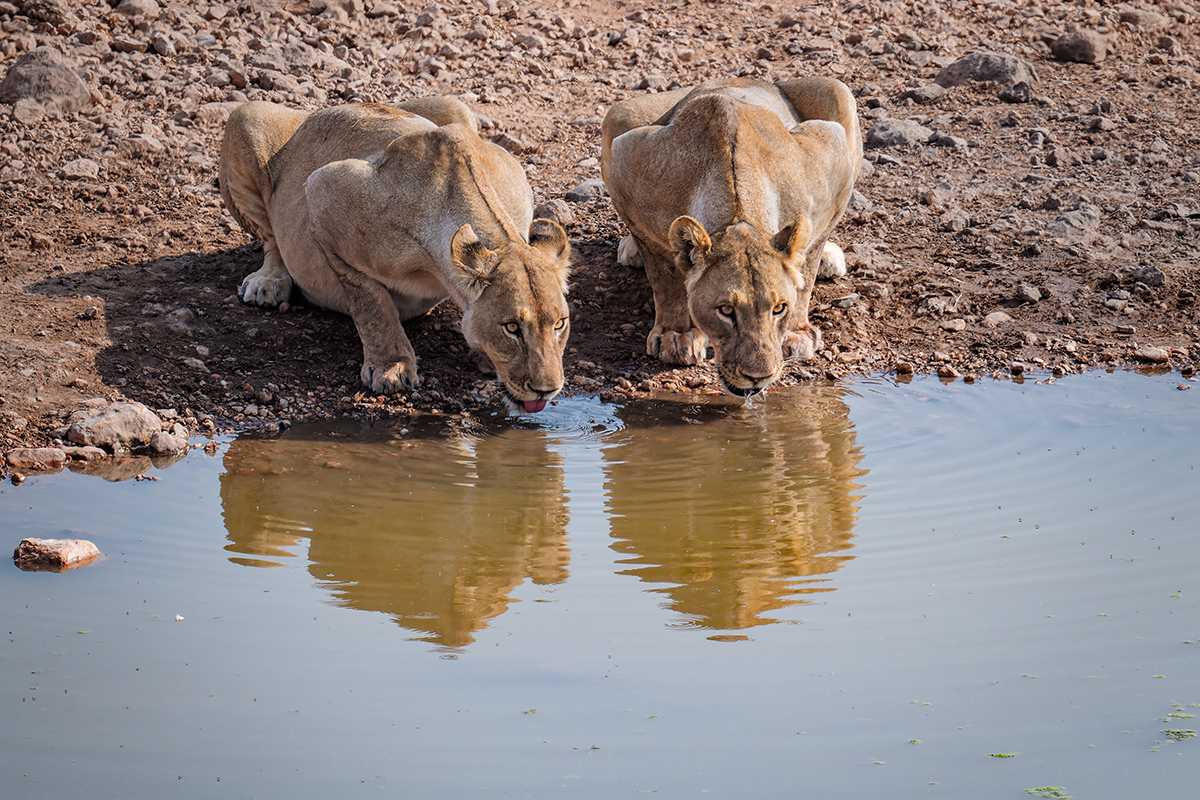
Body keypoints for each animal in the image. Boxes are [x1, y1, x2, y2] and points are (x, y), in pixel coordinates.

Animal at [218, 97, 572, 412]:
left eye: (559, 324)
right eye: (511, 327)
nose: (547, 389)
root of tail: (314, 113)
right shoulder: (322, 190)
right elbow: (370, 300)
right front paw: (392, 366)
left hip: (455, 105)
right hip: (245, 117)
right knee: (270, 238)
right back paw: (268, 282)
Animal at [601, 77, 861, 396]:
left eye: (779, 308)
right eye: (725, 310)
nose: (759, 377)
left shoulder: (833, 159)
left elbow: (807, 269)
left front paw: (796, 332)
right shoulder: (626, 165)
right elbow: (664, 278)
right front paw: (677, 334)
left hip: (837, 91)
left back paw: (829, 259)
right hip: (620, 112)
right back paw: (631, 251)